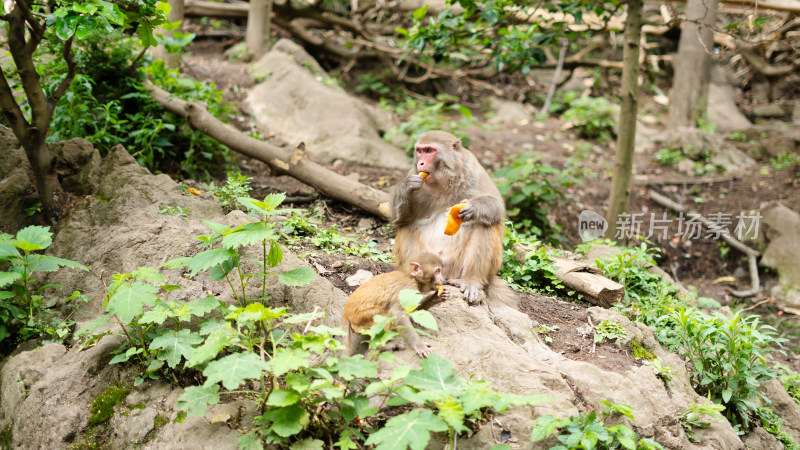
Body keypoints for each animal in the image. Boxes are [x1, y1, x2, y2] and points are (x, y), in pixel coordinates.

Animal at [390, 130, 516, 306]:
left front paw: (473, 208)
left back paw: (471, 281)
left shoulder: (473, 169)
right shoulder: (414, 173)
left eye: (429, 150)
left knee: (484, 225)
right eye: (419, 150)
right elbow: (400, 219)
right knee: (407, 225)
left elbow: (496, 206)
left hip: (456, 268)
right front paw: (406, 186)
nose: (421, 163)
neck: (443, 180)